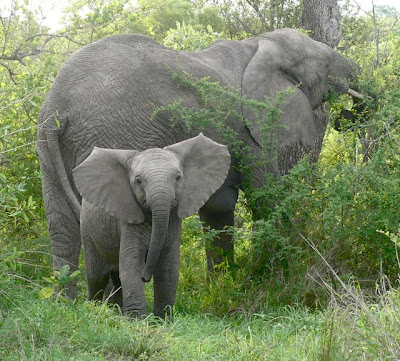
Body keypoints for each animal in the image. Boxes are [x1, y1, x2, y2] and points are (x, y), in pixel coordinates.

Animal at [73, 134, 230, 316]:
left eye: (178, 177)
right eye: (138, 181)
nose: (145, 277)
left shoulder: (172, 222)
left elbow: (168, 269)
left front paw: (161, 320)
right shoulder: (128, 220)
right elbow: (132, 266)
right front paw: (138, 320)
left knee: (116, 279)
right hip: (88, 231)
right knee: (96, 277)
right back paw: (92, 310)